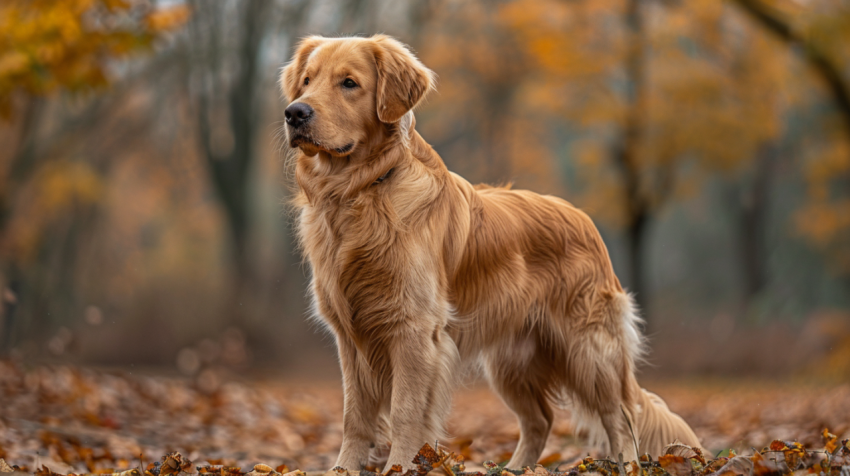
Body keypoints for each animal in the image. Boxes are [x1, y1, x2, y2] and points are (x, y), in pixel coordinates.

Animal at [282, 34, 700, 472]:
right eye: (306, 81)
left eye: (349, 83)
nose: (294, 113)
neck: (361, 191)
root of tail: (583, 218)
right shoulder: (350, 337)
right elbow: (355, 416)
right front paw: (343, 469)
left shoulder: (414, 331)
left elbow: (404, 412)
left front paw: (400, 466)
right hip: (512, 362)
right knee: (540, 420)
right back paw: (515, 468)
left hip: (589, 351)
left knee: (621, 417)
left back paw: (628, 466)